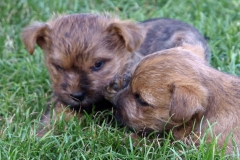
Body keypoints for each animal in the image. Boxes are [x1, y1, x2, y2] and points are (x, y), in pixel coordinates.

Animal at [22, 13, 210, 136]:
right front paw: (44, 132)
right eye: (58, 67)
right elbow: (58, 112)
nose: (77, 95)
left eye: (98, 64)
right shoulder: (63, 100)